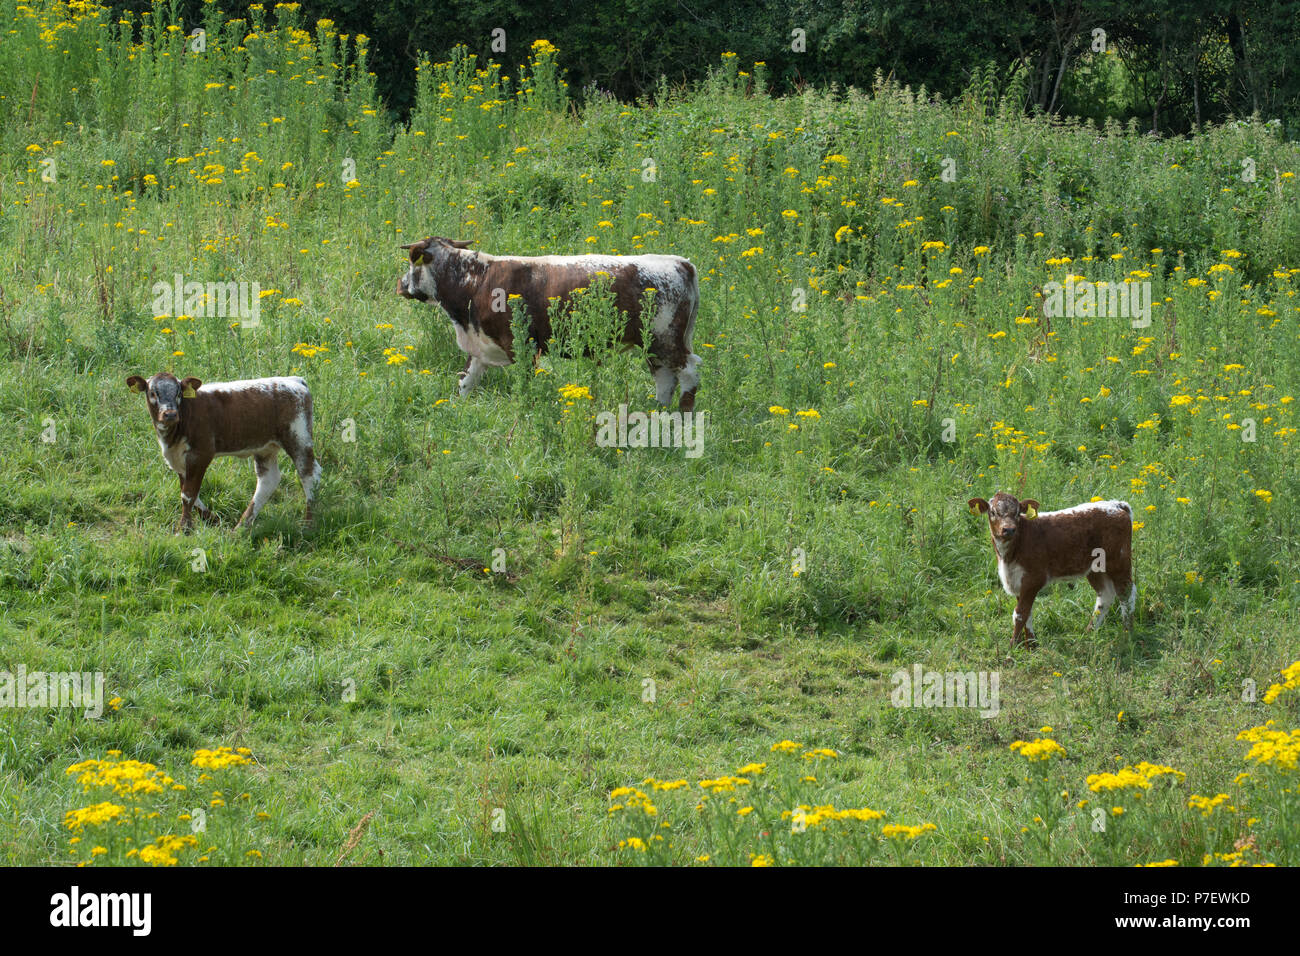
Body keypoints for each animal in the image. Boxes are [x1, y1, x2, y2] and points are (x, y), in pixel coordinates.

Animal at [127, 371, 322, 530]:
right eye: (153, 393)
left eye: (179, 393)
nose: (170, 414)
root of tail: (294, 380)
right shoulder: (177, 458)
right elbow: (188, 492)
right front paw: (212, 519)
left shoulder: (201, 453)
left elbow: (188, 494)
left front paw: (184, 528)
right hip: (265, 447)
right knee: (268, 480)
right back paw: (241, 527)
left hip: (298, 438)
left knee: (309, 474)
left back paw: (308, 524)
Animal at [392, 238, 702, 411]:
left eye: (412, 262)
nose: (401, 285)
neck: (477, 280)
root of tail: (680, 262)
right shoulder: (481, 346)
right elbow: (466, 382)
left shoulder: (522, 346)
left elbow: (525, 385)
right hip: (654, 345)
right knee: (664, 379)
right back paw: (656, 413)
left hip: (665, 339)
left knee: (688, 374)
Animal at [967, 494, 1138, 650]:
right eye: (993, 512)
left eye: (1017, 513)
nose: (1009, 529)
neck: (1008, 556)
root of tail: (1116, 505)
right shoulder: (1016, 580)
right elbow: (1027, 612)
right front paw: (1031, 645)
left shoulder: (1033, 579)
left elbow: (1020, 613)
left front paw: (1012, 647)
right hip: (1095, 569)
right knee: (1105, 595)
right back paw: (1089, 633)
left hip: (1119, 561)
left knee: (1126, 593)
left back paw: (1127, 634)